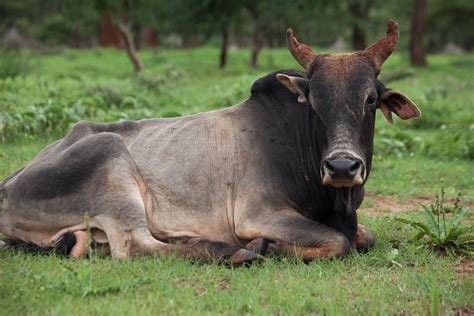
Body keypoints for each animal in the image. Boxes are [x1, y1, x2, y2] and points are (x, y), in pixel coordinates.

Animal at [1, 20, 420, 264]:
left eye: (370, 99)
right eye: (313, 102)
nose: (342, 166)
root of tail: (8, 184)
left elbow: (366, 237)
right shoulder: (260, 214)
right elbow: (339, 242)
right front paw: (271, 246)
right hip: (108, 154)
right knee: (138, 246)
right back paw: (237, 251)